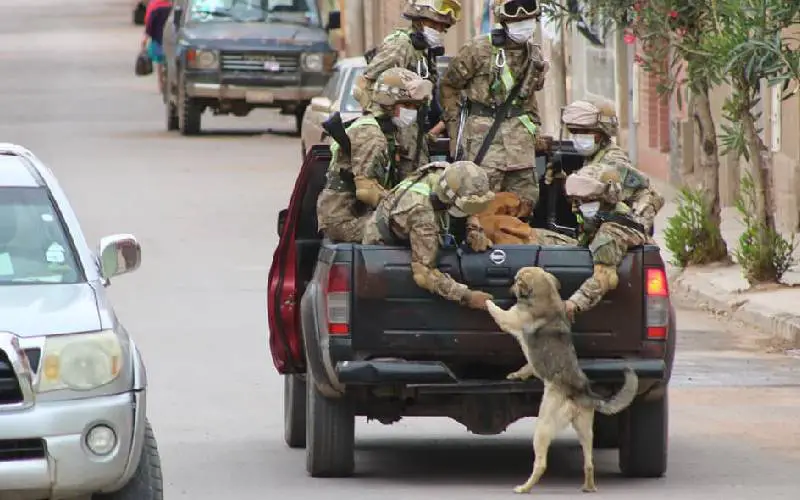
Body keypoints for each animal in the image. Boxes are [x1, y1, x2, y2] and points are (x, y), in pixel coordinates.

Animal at [482, 268, 636, 494]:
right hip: (585, 431)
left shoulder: (510, 318)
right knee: (589, 463)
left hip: (543, 426)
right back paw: (588, 487)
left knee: (541, 464)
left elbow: (497, 311)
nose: (510, 287)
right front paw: (519, 374)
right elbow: (527, 366)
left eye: (517, 279)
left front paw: (483, 298)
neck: (548, 295)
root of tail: (583, 392)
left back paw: (524, 488)